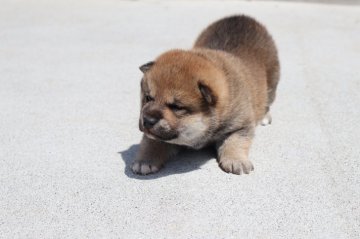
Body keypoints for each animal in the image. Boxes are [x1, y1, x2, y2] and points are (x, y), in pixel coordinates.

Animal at [133, 15, 282, 176]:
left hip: (272, 83)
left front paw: (236, 160)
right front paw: (146, 160)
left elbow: (235, 141)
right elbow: (151, 141)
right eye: (148, 98)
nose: (147, 120)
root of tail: (242, 17)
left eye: (177, 107)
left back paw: (265, 116)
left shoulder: (241, 124)